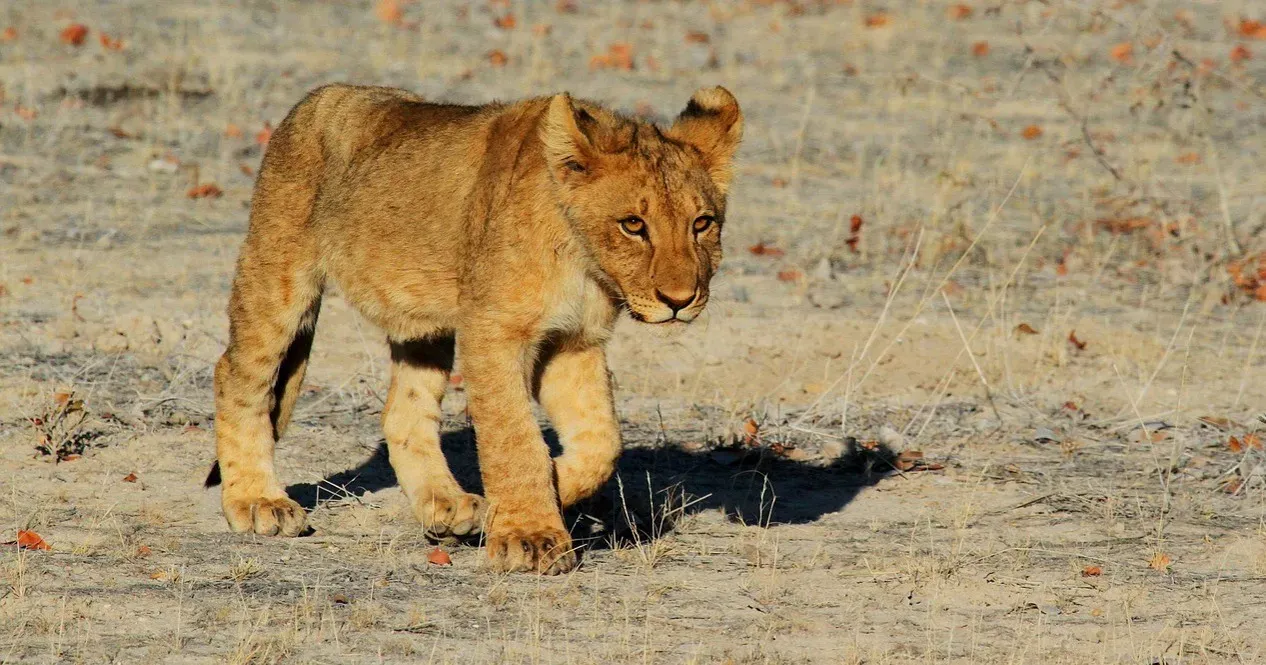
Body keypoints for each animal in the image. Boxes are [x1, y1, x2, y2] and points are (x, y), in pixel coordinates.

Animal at [207, 83, 742, 574]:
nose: (680, 301)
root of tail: (314, 98)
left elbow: (601, 441)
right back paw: (257, 502)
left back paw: (447, 506)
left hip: (423, 325)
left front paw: (536, 494)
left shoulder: (573, 341)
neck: (583, 262)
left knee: (403, 412)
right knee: (237, 373)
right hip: (278, 274)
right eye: (633, 224)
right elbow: (514, 436)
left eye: (702, 223)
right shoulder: (493, 330)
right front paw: (529, 535)